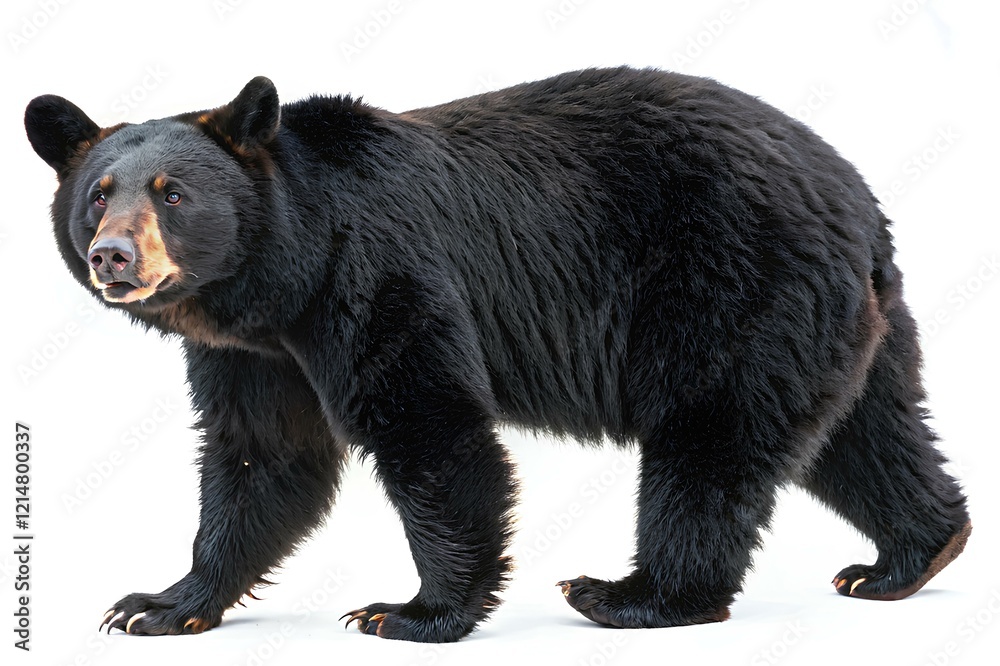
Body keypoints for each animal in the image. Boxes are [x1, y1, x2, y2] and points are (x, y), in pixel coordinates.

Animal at [25, 67, 971, 642]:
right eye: (98, 193)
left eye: (173, 193)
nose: (114, 257)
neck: (283, 273)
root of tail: (856, 200)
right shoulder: (258, 350)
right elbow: (266, 456)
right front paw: (159, 604)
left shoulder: (376, 272)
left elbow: (429, 426)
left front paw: (412, 611)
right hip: (848, 321)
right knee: (868, 432)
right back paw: (908, 556)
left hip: (734, 285)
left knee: (710, 440)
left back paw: (636, 595)